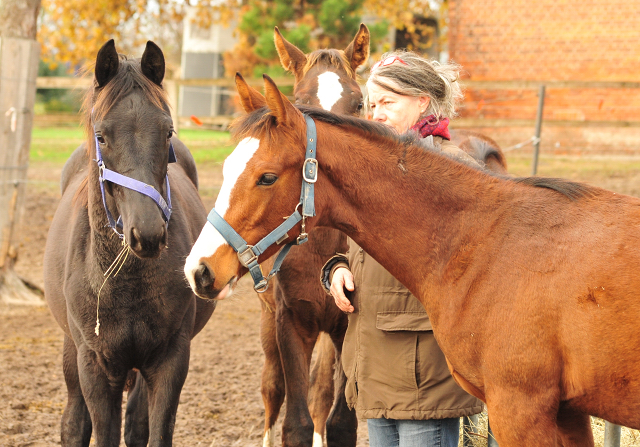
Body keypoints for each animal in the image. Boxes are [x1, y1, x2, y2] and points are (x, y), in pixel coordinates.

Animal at [45, 40, 216, 446]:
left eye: (167, 133)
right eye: (102, 136)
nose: (148, 234)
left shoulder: (170, 361)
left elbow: (153, 431)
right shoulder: (95, 366)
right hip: (72, 352)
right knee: (74, 422)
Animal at [185, 75, 640, 446]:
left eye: (267, 177)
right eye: (226, 168)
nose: (198, 270)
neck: (488, 239)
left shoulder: (521, 409)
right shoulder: (568, 412)